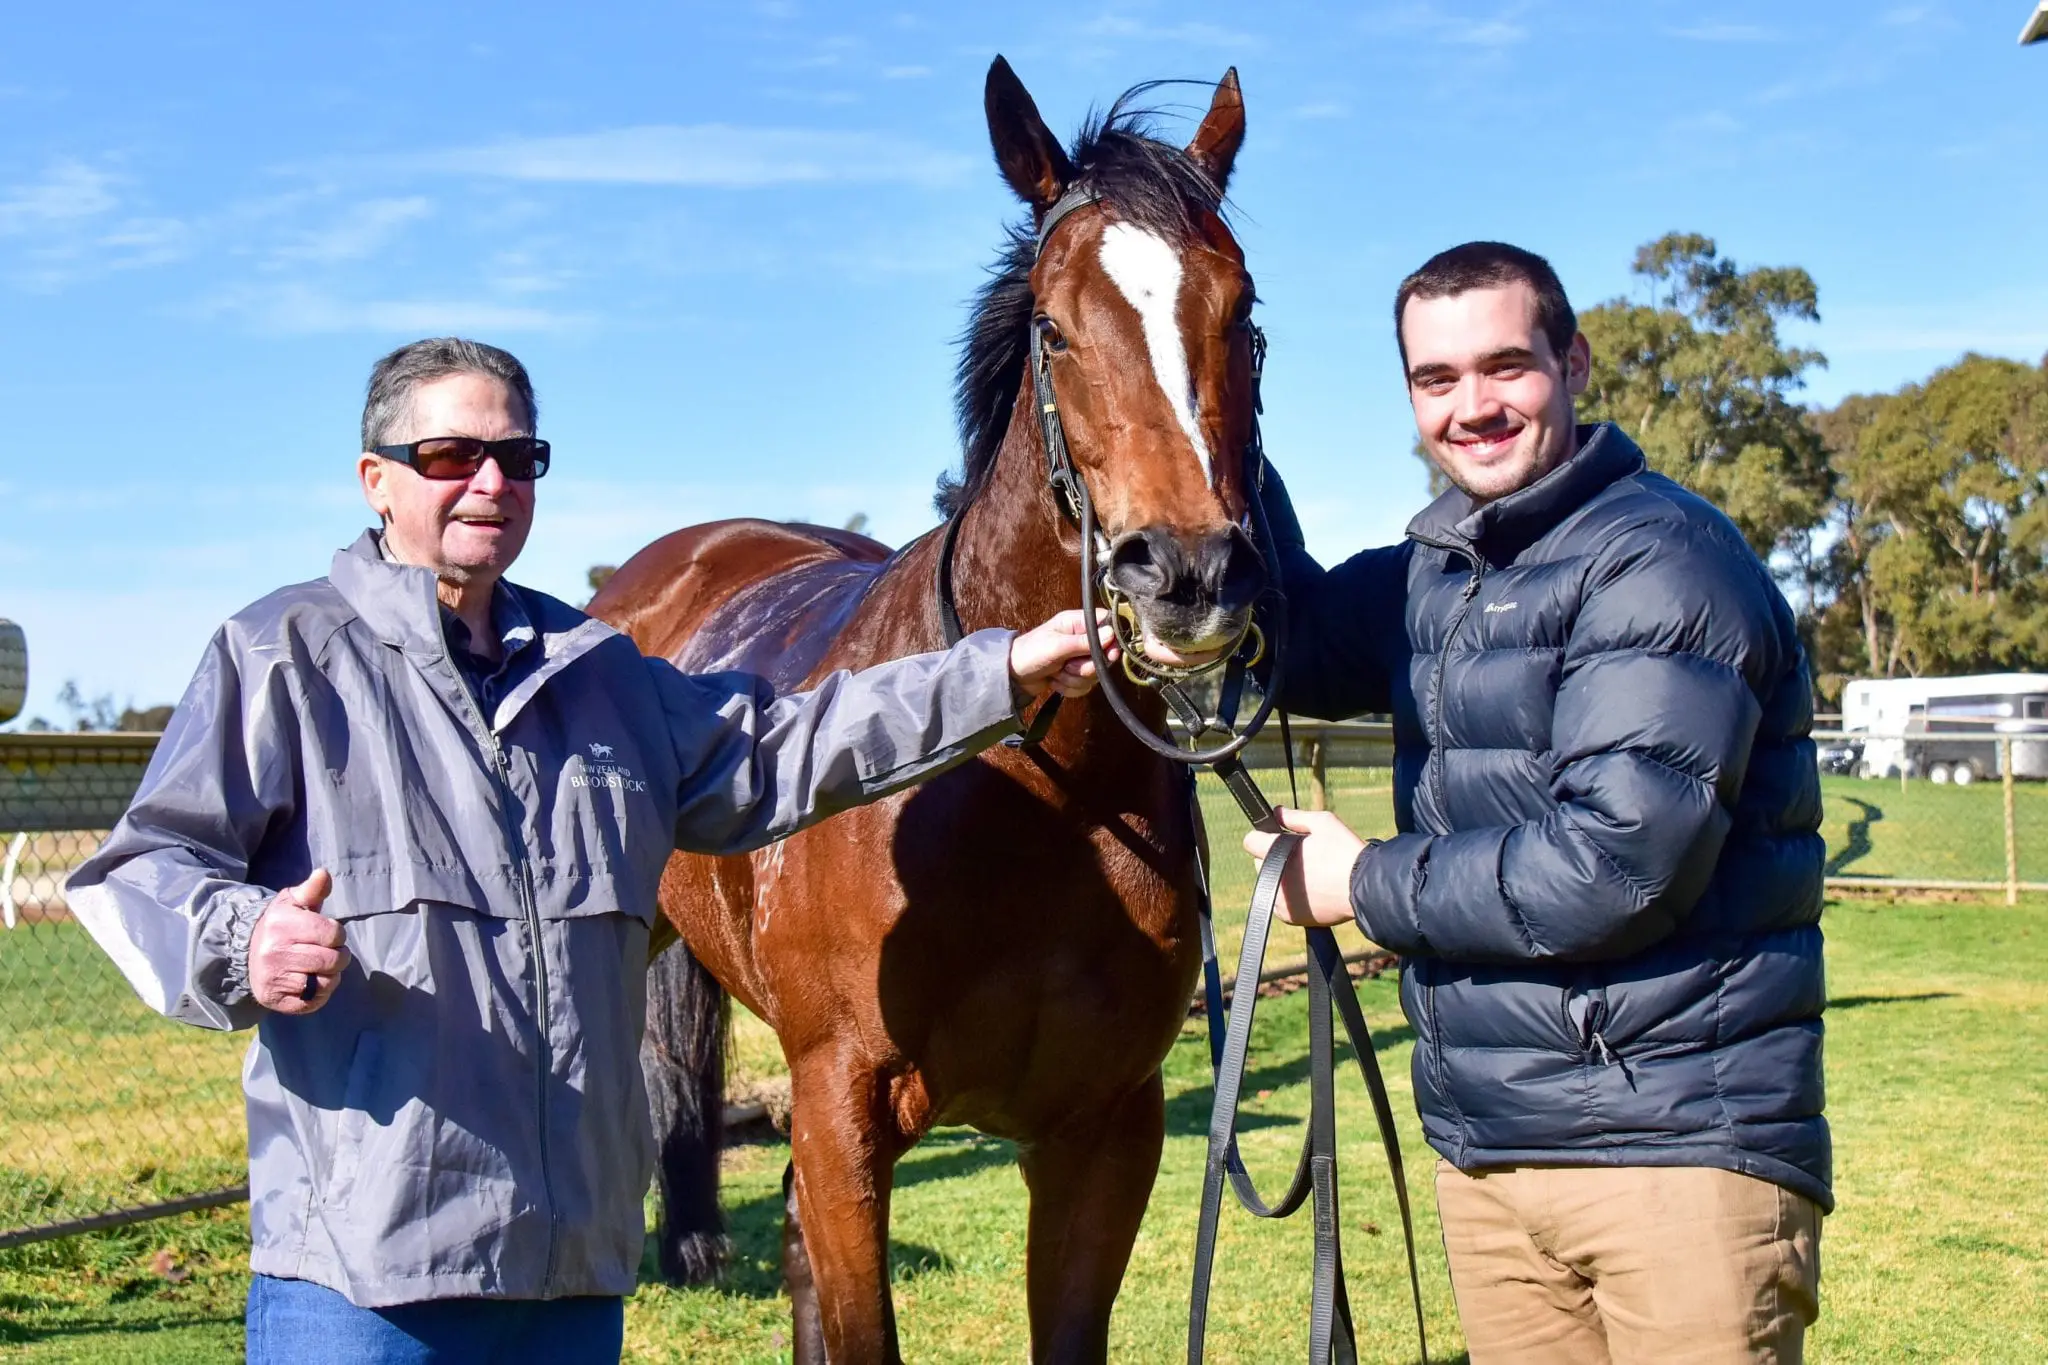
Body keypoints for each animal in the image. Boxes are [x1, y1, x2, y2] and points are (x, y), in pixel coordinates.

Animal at [593, 58, 1261, 1358]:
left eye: (1243, 317)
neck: (1033, 800)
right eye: (1053, 327)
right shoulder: (842, 1115)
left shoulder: (1103, 1132)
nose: (1188, 574)